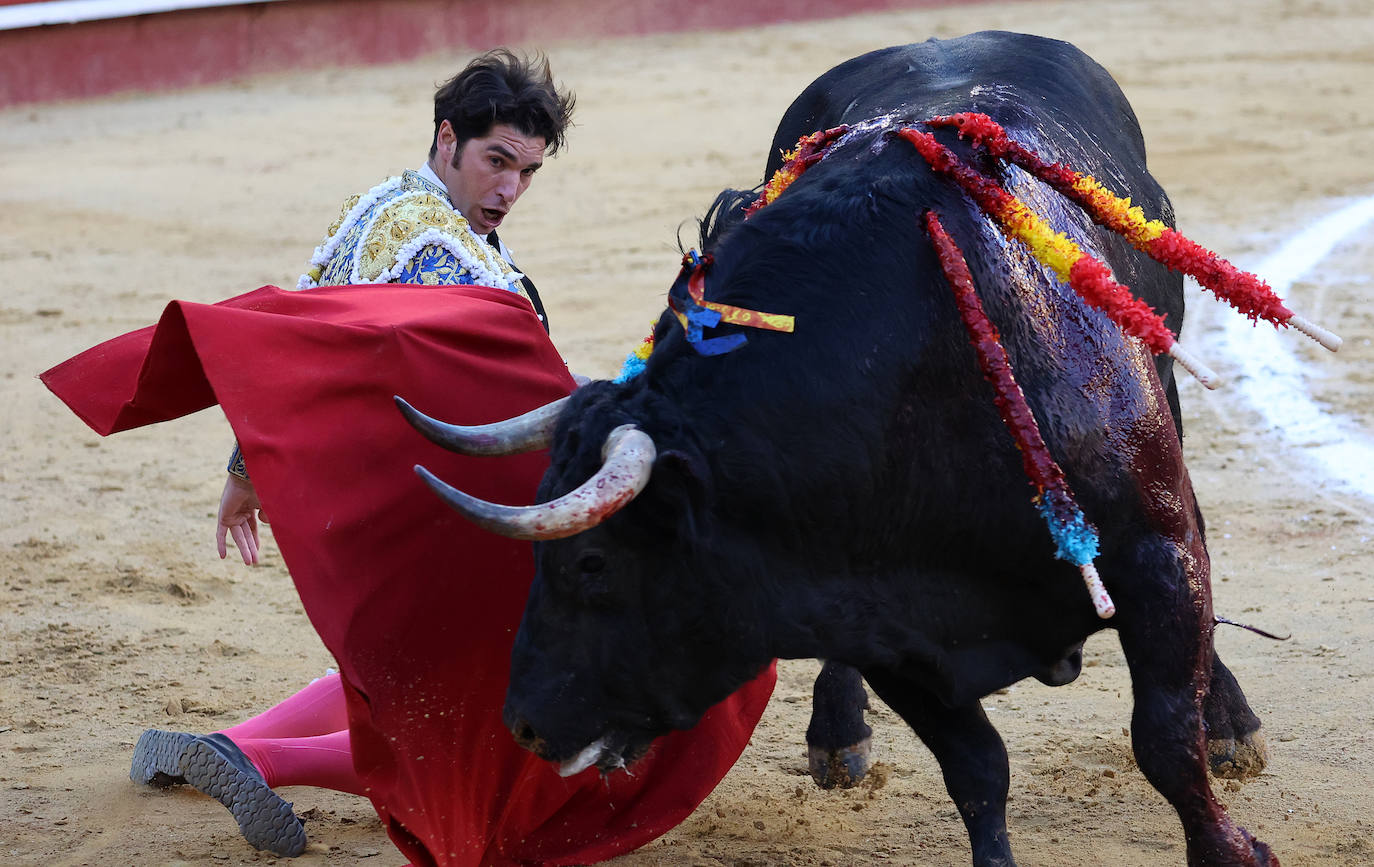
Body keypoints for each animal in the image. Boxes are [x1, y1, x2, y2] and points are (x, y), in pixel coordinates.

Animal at [403, 28, 1275, 867]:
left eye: (592, 563)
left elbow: (1165, 738)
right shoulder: (873, 608)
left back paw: (1230, 719)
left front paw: (1233, 843)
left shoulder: (1151, 552)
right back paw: (837, 735)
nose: (524, 723)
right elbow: (977, 769)